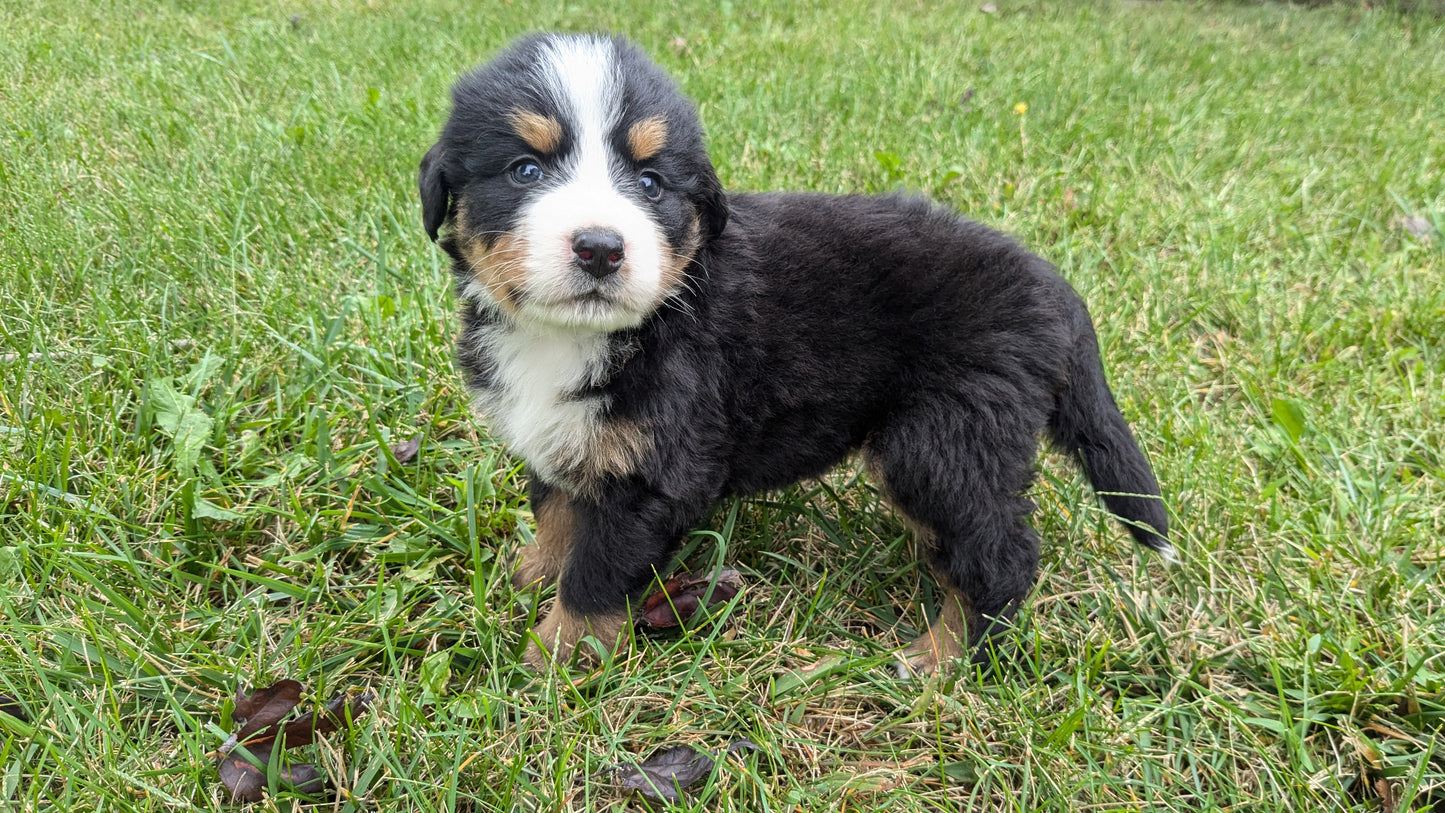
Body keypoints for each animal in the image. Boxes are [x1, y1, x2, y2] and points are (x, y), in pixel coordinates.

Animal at [421, 33, 1173, 675]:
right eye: (524, 170)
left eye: (650, 183)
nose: (601, 247)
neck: (571, 336)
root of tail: (1051, 283)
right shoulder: (561, 432)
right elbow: (555, 505)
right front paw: (531, 573)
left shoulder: (654, 469)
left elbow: (597, 574)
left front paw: (556, 661)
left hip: (943, 438)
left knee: (1002, 555)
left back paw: (941, 658)